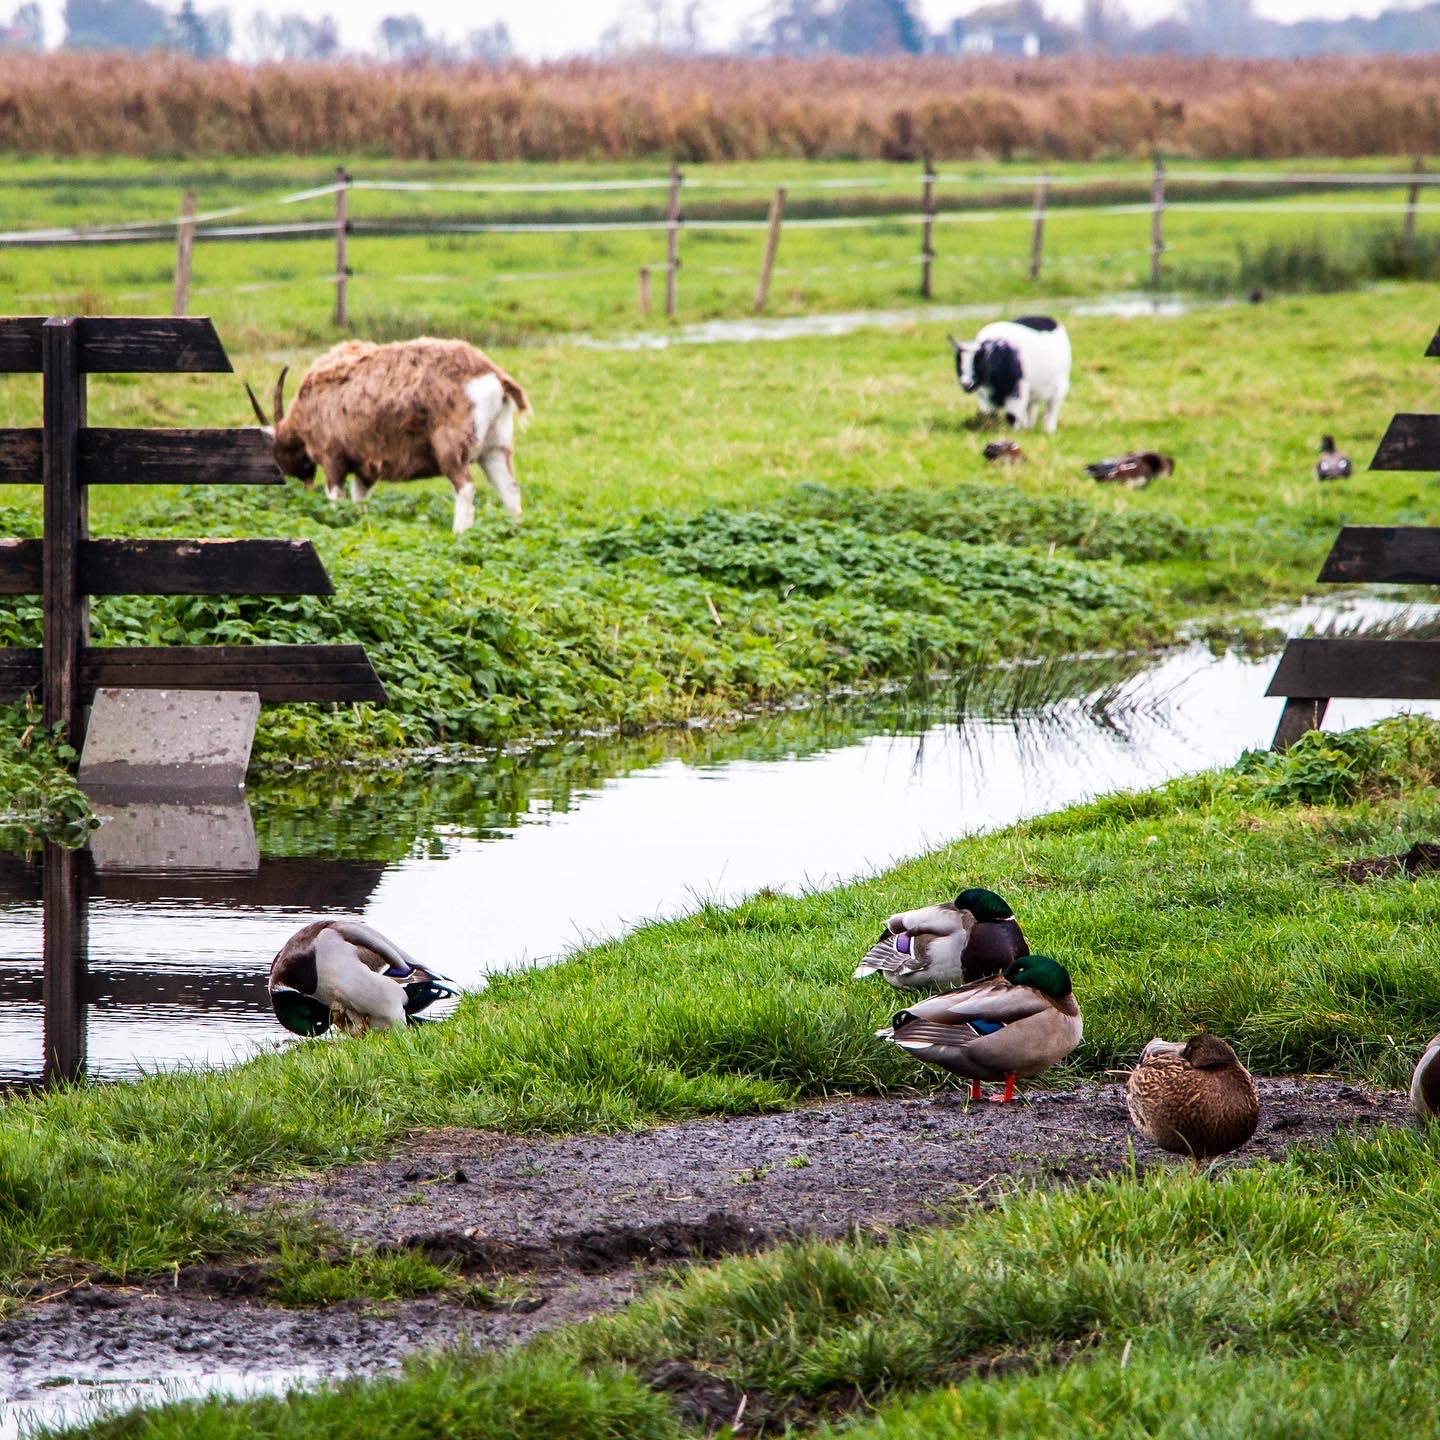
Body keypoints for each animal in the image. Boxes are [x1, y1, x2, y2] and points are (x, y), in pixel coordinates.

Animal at [244, 336, 532, 535]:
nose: (302, 482)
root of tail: (492, 375)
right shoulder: (365, 469)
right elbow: (359, 499)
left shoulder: (332, 458)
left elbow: (336, 497)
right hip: (495, 449)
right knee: (510, 490)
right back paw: (514, 531)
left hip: (451, 449)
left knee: (466, 487)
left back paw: (458, 533)